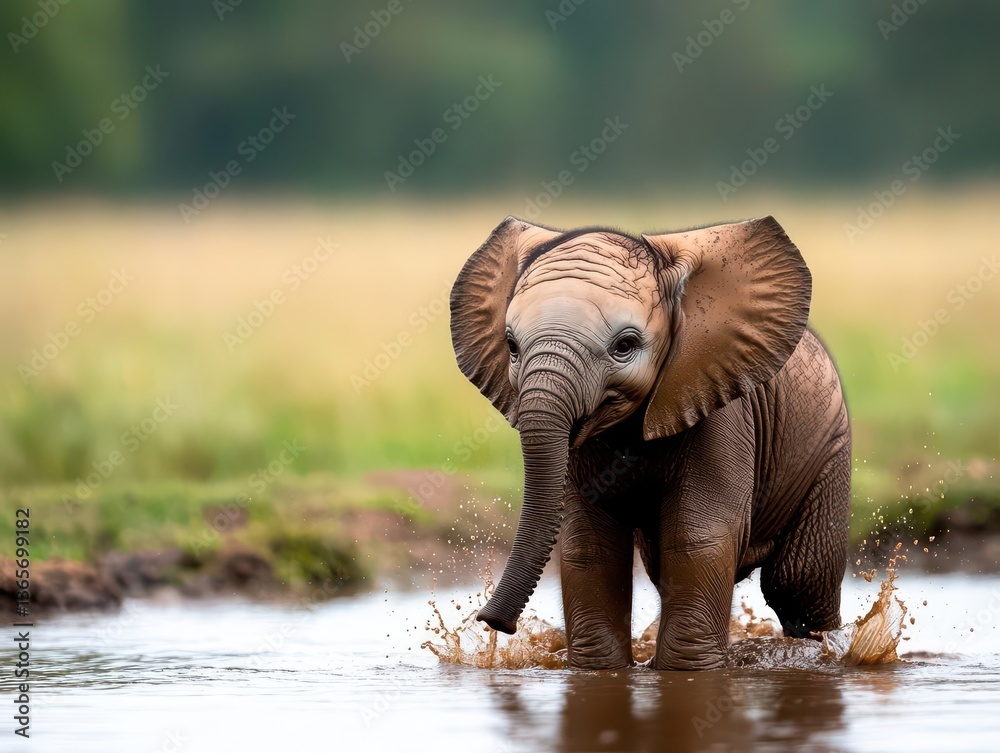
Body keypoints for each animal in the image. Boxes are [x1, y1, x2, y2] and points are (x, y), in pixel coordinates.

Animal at [449, 215, 851, 670]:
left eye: (625, 346)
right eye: (512, 347)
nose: (492, 622)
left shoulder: (717, 403)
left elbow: (698, 538)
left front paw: (687, 671)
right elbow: (590, 547)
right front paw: (599, 671)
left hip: (830, 446)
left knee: (798, 581)